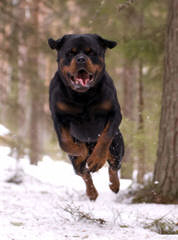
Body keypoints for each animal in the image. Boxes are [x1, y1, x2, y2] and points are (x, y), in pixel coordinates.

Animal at [48, 33, 124, 201]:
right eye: (70, 53)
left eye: (91, 52)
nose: (81, 59)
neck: (83, 96)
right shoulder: (58, 117)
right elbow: (64, 141)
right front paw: (80, 149)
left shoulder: (114, 113)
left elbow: (105, 136)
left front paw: (97, 159)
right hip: (76, 163)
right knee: (83, 172)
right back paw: (91, 192)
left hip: (117, 147)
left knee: (114, 166)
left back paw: (114, 185)